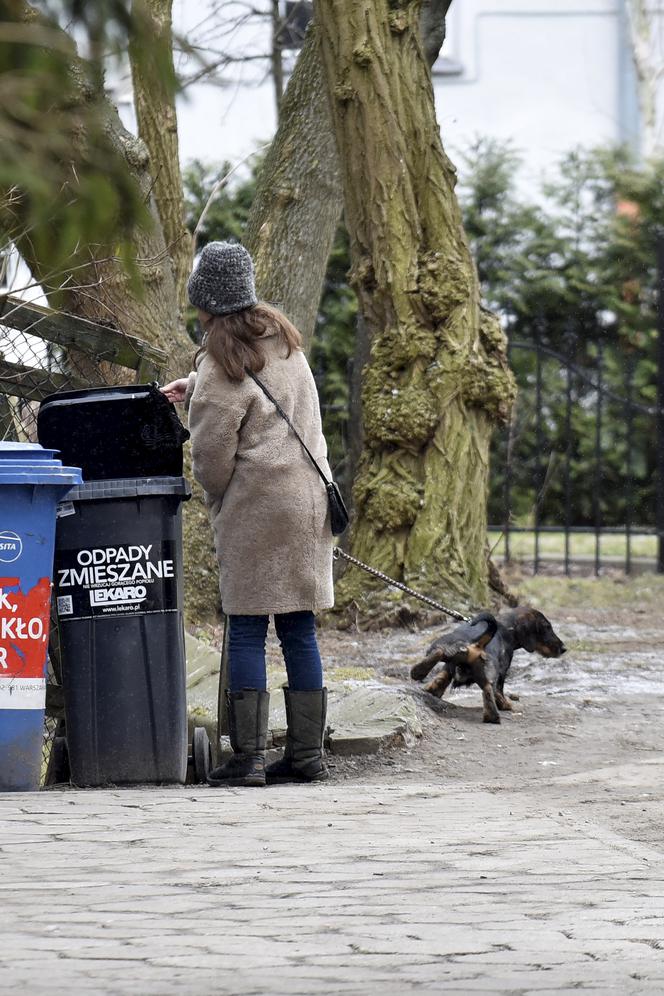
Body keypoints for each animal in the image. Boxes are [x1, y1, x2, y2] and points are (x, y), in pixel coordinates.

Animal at [410, 608, 564, 724]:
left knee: (440, 652)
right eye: (547, 628)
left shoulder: (450, 667)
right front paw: (504, 704)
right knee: (489, 689)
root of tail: (477, 644)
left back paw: (418, 671)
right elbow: (500, 689)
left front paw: (433, 690)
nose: (564, 648)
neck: (506, 629)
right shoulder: (503, 672)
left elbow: (442, 676)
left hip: (455, 653)